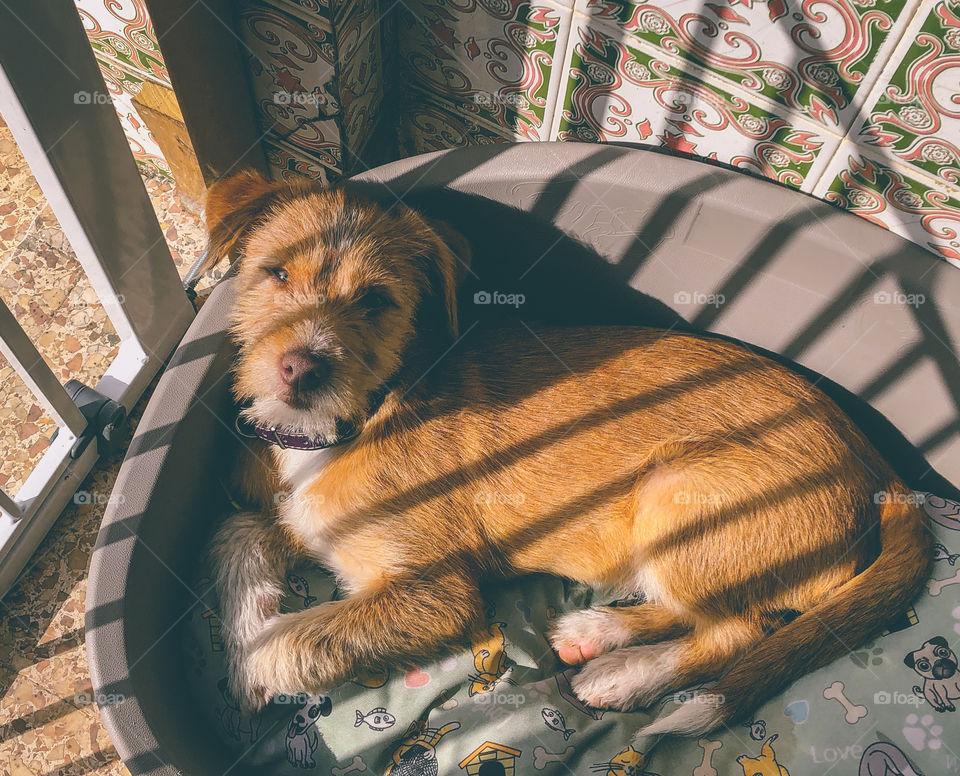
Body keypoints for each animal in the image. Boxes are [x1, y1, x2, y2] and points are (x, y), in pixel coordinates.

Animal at [204, 167, 928, 736]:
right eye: (275, 273)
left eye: (377, 301)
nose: (301, 369)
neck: (349, 421)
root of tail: (875, 462)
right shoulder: (279, 514)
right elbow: (235, 533)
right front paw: (243, 638)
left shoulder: (434, 592)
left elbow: (296, 640)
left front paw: (246, 678)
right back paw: (596, 633)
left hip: (674, 491)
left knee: (740, 632)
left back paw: (623, 676)